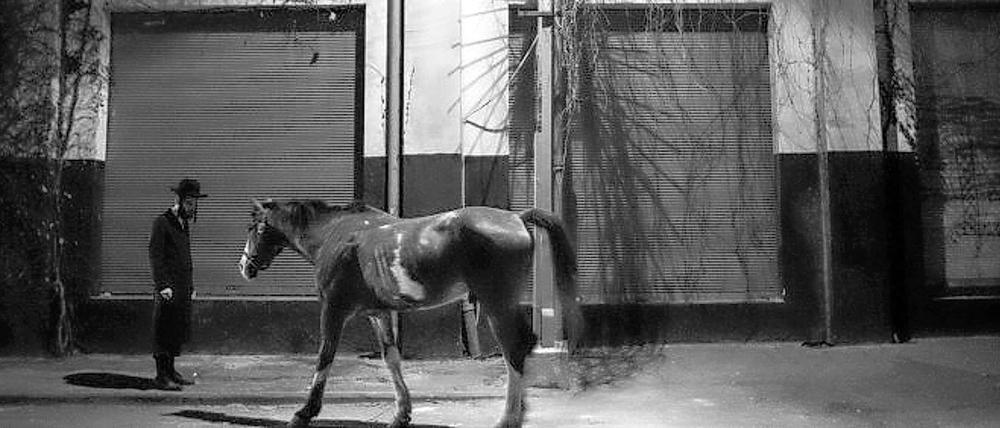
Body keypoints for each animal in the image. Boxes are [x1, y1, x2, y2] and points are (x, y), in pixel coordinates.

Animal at [238, 199, 582, 428]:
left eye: (254, 227)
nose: (244, 266)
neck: (333, 235)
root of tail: (516, 218)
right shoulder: (378, 313)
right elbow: (391, 359)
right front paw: (401, 413)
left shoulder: (334, 309)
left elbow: (325, 356)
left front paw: (304, 412)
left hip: (497, 302)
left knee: (515, 347)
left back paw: (509, 417)